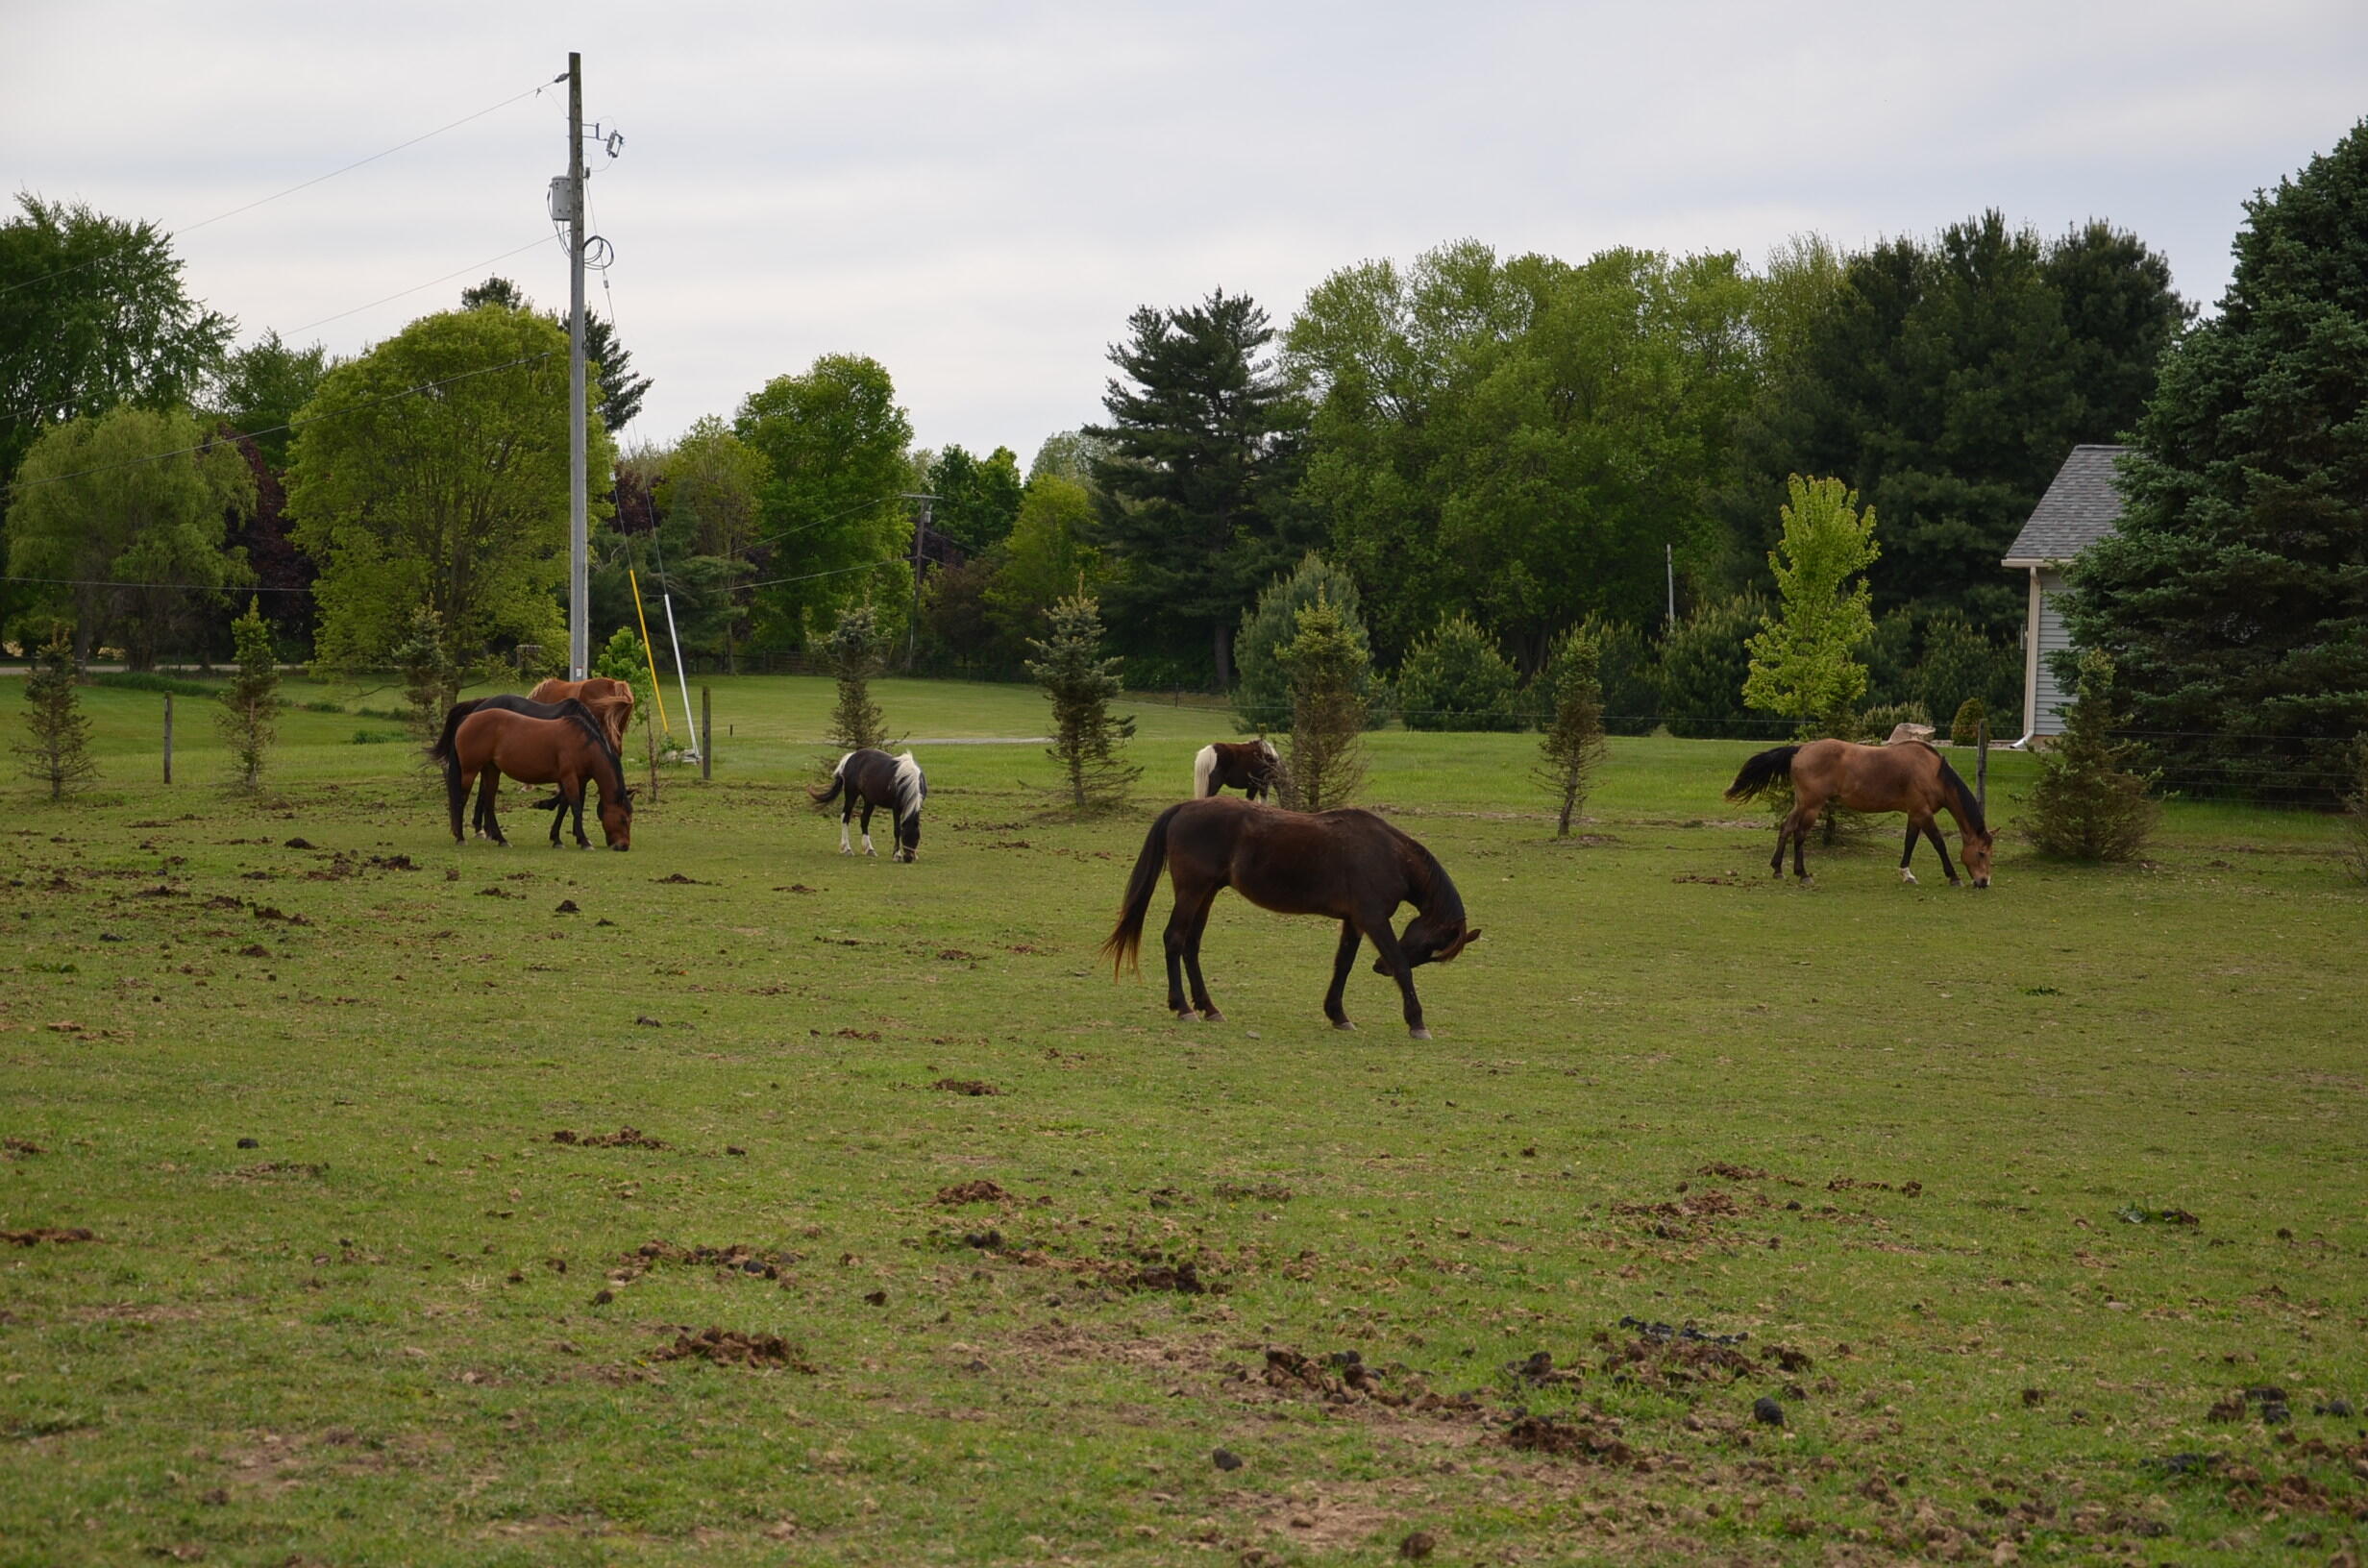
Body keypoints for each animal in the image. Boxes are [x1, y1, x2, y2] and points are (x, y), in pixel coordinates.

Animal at [430, 705, 633, 850]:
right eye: (623, 819)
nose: (623, 846)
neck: (583, 744)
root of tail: (468, 718)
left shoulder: (576, 779)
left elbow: (564, 806)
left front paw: (557, 838)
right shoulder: (569, 777)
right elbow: (575, 807)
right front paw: (584, 841)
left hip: (491, 770)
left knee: (489, 803)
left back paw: (501, 839)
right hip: (470, 771)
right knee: (461, 800)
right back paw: (460, 837)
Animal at [1101, 796, 1482, 1038]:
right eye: (1431, 946)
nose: (1379, 968)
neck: (1389, 854)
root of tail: (1185, 807)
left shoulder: (1354, 921)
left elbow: (1342, 965)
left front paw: (1338, 1014)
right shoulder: (1374, 919)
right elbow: (1402, 965)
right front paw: (1417, 1022)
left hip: (1206, 893)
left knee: (1191, 946)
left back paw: (1209, 1007)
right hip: (1193, 890)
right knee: (1175, 939)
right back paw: (1183, 1007)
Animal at [1724, 738, 1991, 887]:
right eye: (1981, 853)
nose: (1984, 882)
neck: (1933, 772)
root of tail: (1801, 749)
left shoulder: (1915, 814)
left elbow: (1909, 843)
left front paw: (1906, 874)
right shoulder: (1923, 813)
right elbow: (1939, 844)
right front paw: (1954, 877)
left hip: (1801, 804)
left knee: (1787, 827)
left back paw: (1778, 869)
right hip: (1812, 805)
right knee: (1799, 834)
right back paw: (1802, 874)